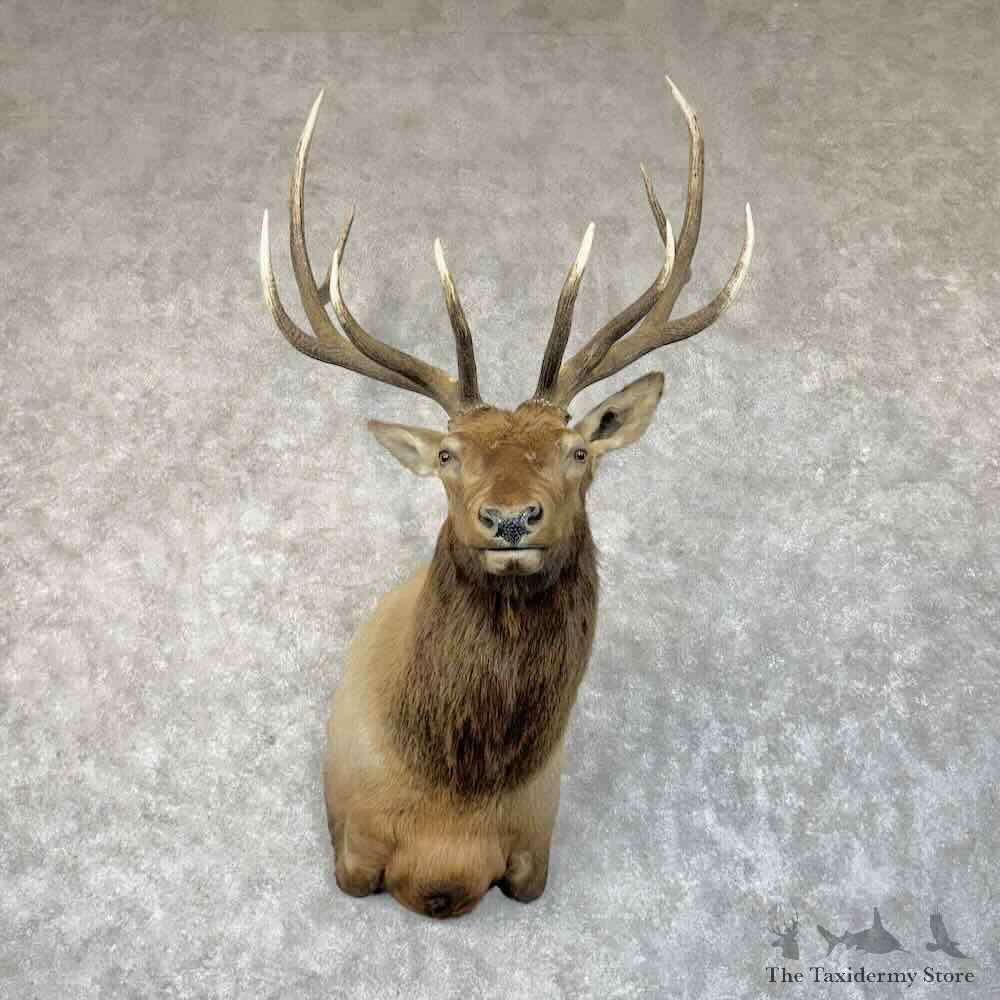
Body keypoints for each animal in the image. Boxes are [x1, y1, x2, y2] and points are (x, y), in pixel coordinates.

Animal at [259, 75, 754, 919]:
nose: (512, 518)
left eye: (577, 452)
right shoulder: (352, 847)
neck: (451, 807)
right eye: (448, 456)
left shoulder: (533, 855)